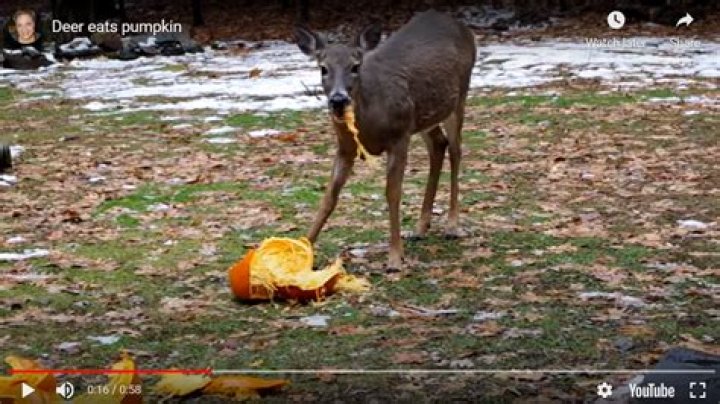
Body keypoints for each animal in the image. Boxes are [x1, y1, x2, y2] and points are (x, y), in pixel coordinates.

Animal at [294, 10, 476, 270]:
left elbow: (393, 193)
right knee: (438, 144)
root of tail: (460, 25)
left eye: (355, 66)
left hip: (459, 97)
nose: (338, 100)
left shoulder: (399, 137)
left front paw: (395, 258)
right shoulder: (344, 148)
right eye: (323, 68)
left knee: (456, 150)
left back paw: (452, 225)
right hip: (423, 117)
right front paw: (303, 248)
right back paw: (420, 228)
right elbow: (329, 196)